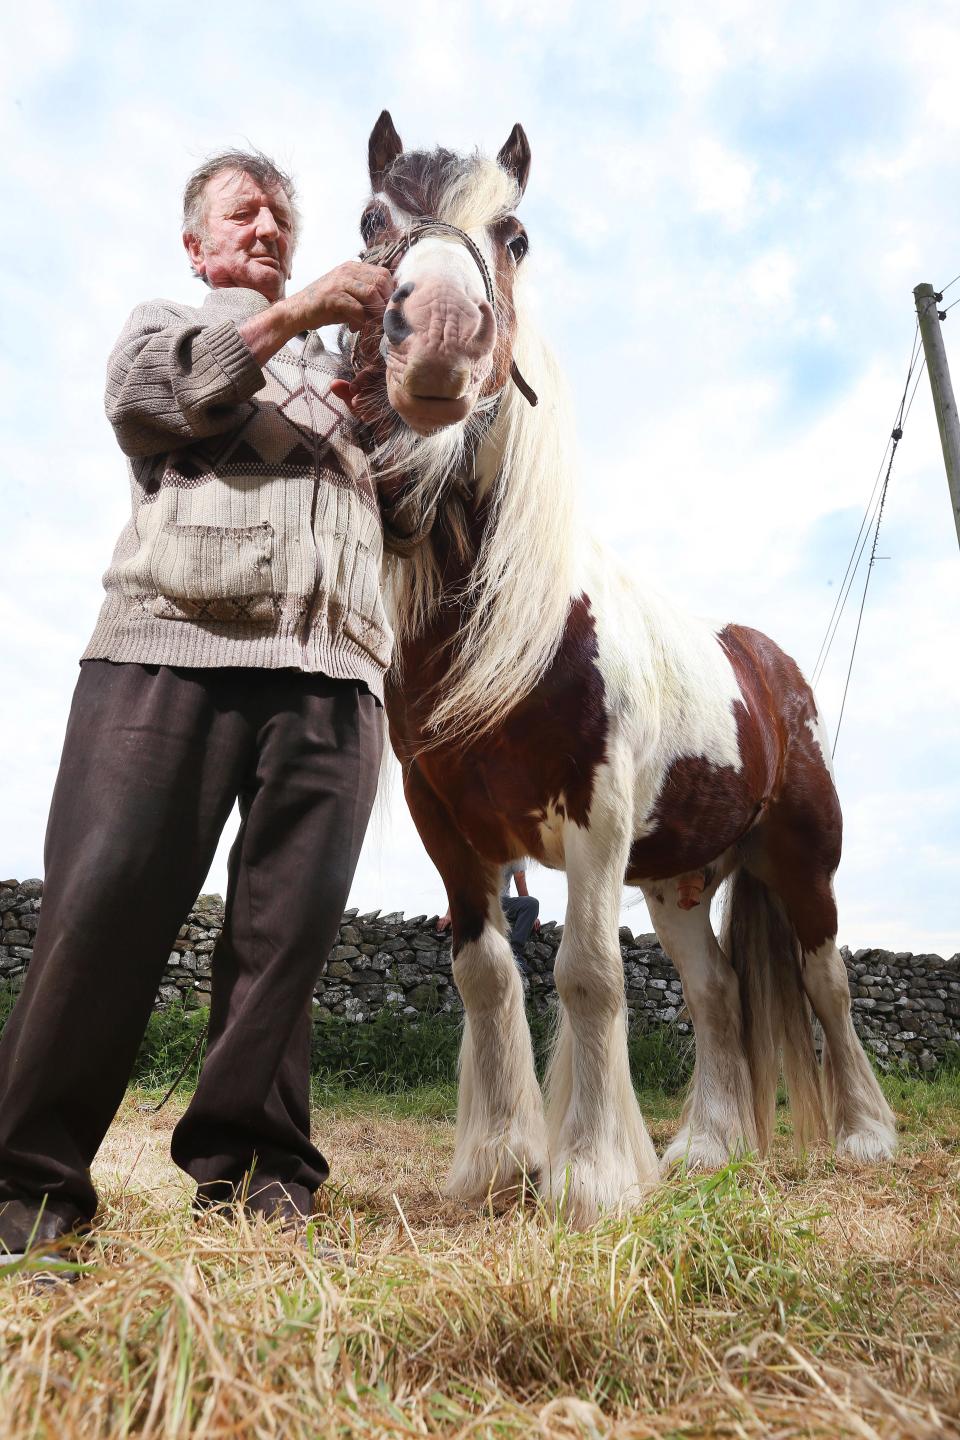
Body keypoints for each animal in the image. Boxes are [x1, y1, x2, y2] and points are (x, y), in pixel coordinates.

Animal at [332, 112, 903, 1226]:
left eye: (515, 235)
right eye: (373, 219)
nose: (442, 333)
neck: (517, 627)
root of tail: (770, 670)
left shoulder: (593, 814)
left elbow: (591, 976)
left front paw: (590, 1176)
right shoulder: (446, 826)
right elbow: (486, 976)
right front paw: (502, 1161)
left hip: (802, 860)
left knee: (827, 982)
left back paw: (865, 1136)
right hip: (679, 880)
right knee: (717, 991)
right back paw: (708, 1149)